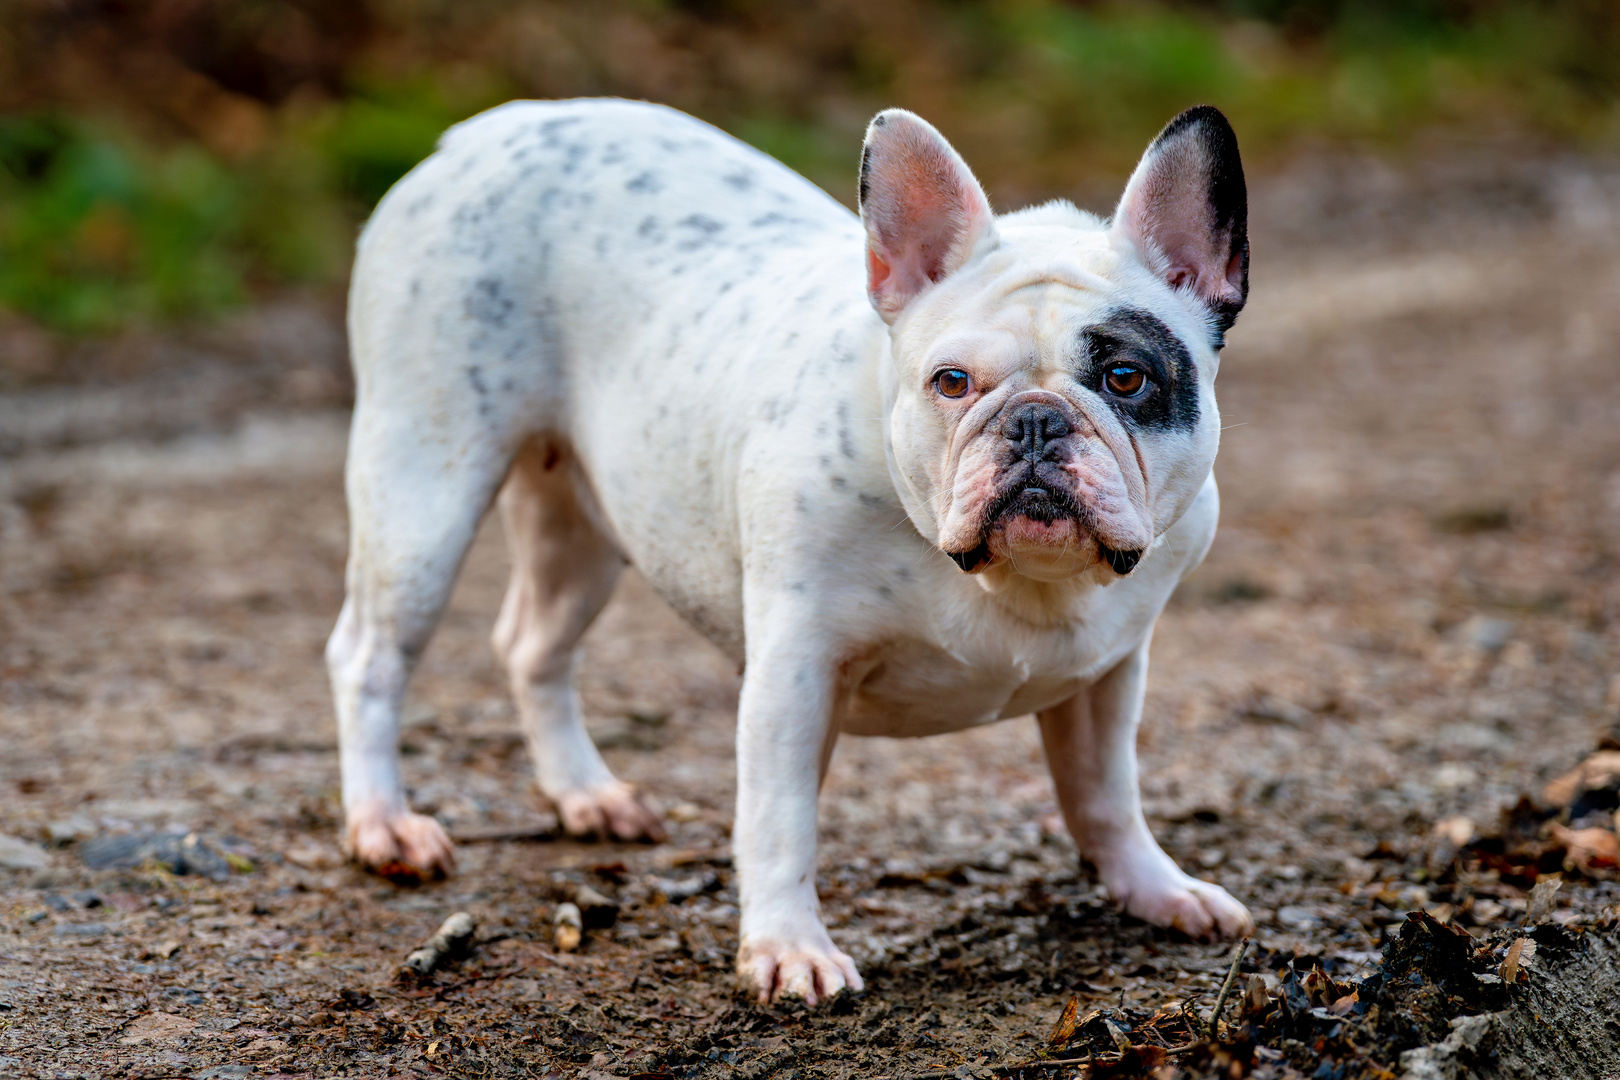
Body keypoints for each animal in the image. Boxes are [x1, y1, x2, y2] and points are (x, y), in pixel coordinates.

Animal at [328, 97, 1257, 1010]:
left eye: (1127, 378)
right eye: (952, 383)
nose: (1033, 420)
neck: (1016, 581)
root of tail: (486, 128)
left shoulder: (1109, 670)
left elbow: (1106, 792)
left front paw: (1154, 887)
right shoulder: (795, 672)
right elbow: (780, 821)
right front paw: (788, 949)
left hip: (584, 526)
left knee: (532, 647)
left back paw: (586, 794)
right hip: (423, 486)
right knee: (369, 657)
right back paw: (384, 825)